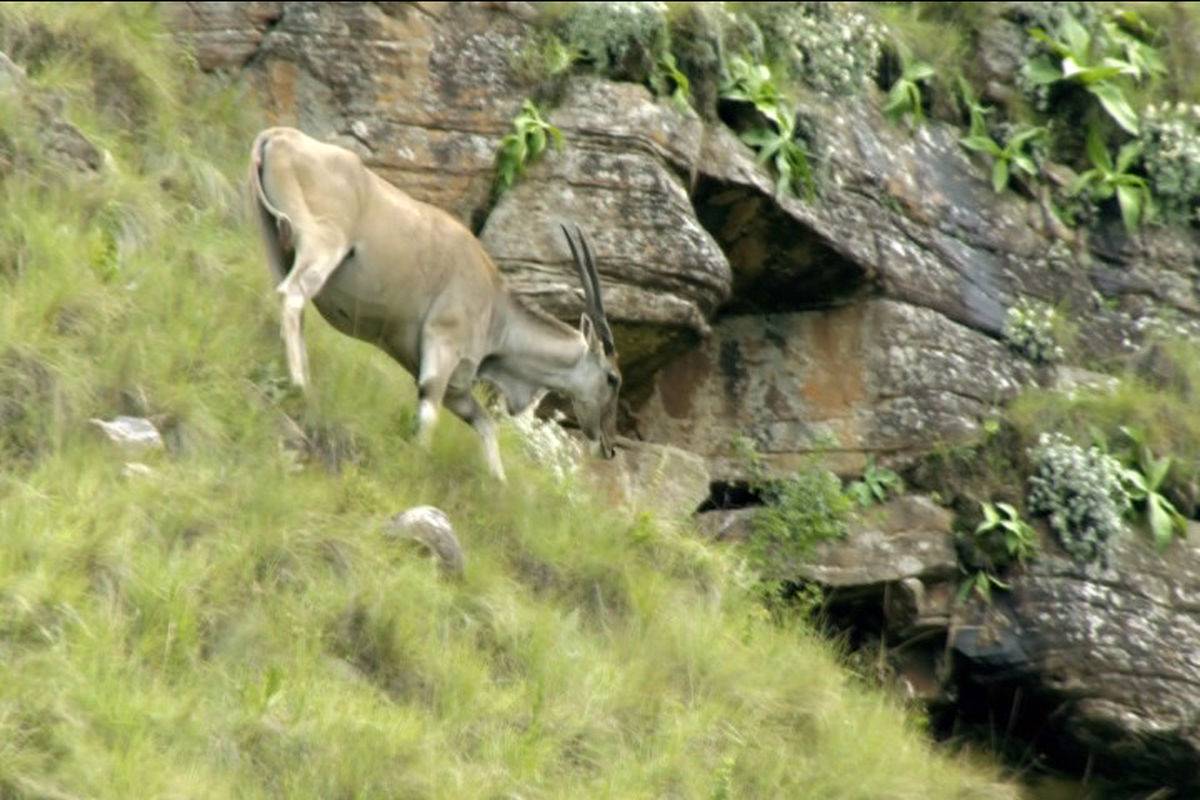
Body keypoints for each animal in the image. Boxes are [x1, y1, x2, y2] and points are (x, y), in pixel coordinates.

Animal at [243, 125, 619, 482]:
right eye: (613, 378)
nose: (608, 447)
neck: (498, 311)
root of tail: (278, 135)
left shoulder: (454, 387)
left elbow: (485, 424)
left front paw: (498, 482)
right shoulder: (442, 349)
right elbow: (429, 411)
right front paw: (416, 465)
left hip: (274, 243)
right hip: (322, 246)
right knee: (292, 295)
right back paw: (300, 384)